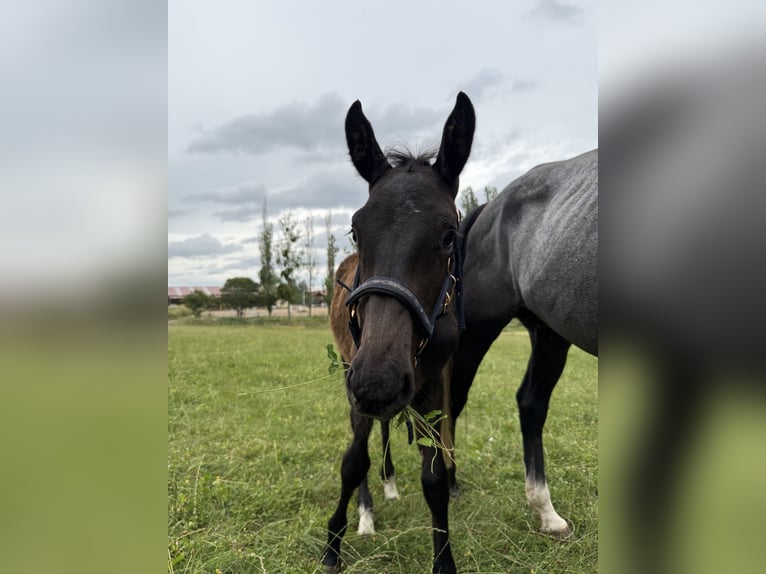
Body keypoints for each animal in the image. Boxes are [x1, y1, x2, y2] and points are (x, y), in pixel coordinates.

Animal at [322, 92, 475, 574]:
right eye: (355, 230)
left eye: (449, 236)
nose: (378, 383)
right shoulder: (356, 375)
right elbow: (353, 461)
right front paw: (332, 544)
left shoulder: (430, 386)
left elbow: (435, 478)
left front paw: (444, 562)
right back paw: (368, 509)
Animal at [449, 149, 598, 538]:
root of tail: (491, 206)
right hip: (479, 330)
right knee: (453, 399)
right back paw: (448, 479)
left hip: (550, 334)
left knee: (531, 404)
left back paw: (546, 513)